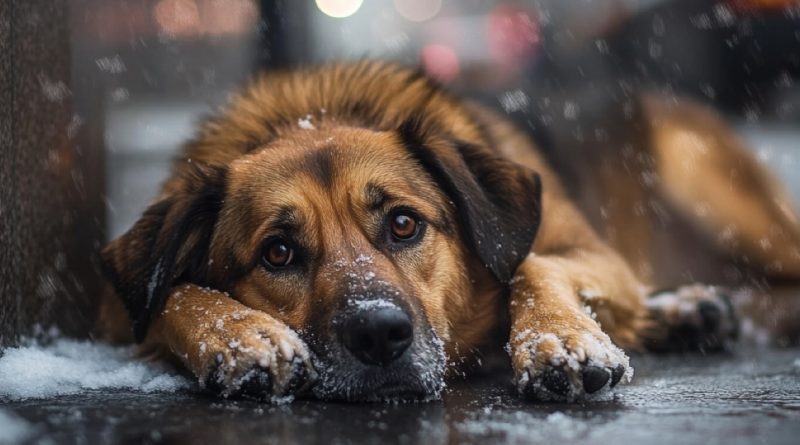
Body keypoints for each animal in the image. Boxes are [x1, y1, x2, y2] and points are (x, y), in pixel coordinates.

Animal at [98, 59, 800, 402]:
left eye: (405, 224)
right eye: (277, 253)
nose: (378, 335)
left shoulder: (594, 252)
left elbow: (530, 261)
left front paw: (561, 342)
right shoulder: (113, 314)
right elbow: (169, 296)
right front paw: (243, 339)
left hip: (705, 177)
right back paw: (686, 312)